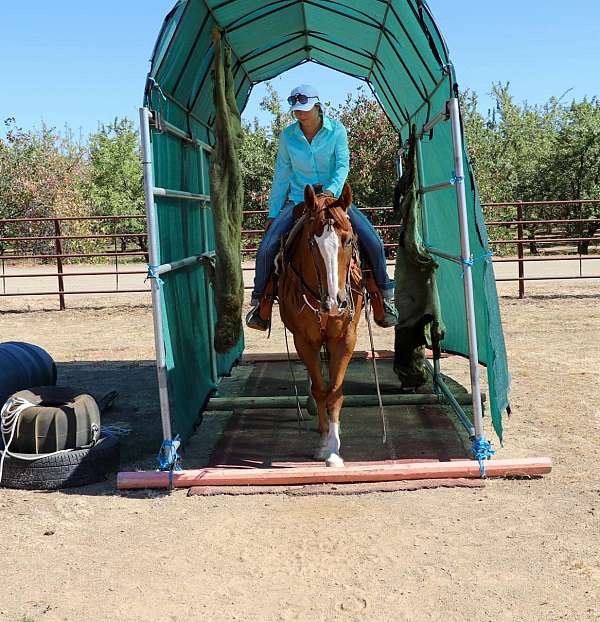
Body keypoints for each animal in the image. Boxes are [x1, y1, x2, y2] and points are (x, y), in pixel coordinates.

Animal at [278, 183, 366, 466]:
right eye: (311, 242)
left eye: (348, 240)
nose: (335, 302)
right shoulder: (305, 341)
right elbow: (319, 390)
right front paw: (323, 442)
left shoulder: (345, 338)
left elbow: (335, 393)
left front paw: (334, 450)